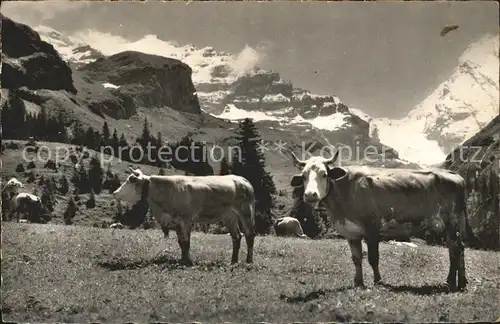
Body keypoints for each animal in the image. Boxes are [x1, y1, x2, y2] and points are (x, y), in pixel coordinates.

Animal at [111, 167, 256, 266]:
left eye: (130, 180)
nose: (114, 192)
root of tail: (242, 180)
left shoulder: (186, 219)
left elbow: (186, 242)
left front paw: (188, 261)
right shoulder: (175, 221)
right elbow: (181, 242)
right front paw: (182, 259)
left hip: (245, 211)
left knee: (249, 235)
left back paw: (248, 261)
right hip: (229, 216)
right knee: (236, 237)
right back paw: (233, 261)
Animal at [290, 151, 468, 292]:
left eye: (324, 174)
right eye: (304, 176)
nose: (310, 195)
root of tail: (455, 175)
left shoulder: (371, 228)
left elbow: (373, 258)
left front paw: (378, 281)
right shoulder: (351, 233)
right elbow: (356, 258)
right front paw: (358, 283)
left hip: (450, 221)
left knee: (455, 250)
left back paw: (449, 282)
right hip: (456, 224)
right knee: (460, 248)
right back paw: (462, 283)